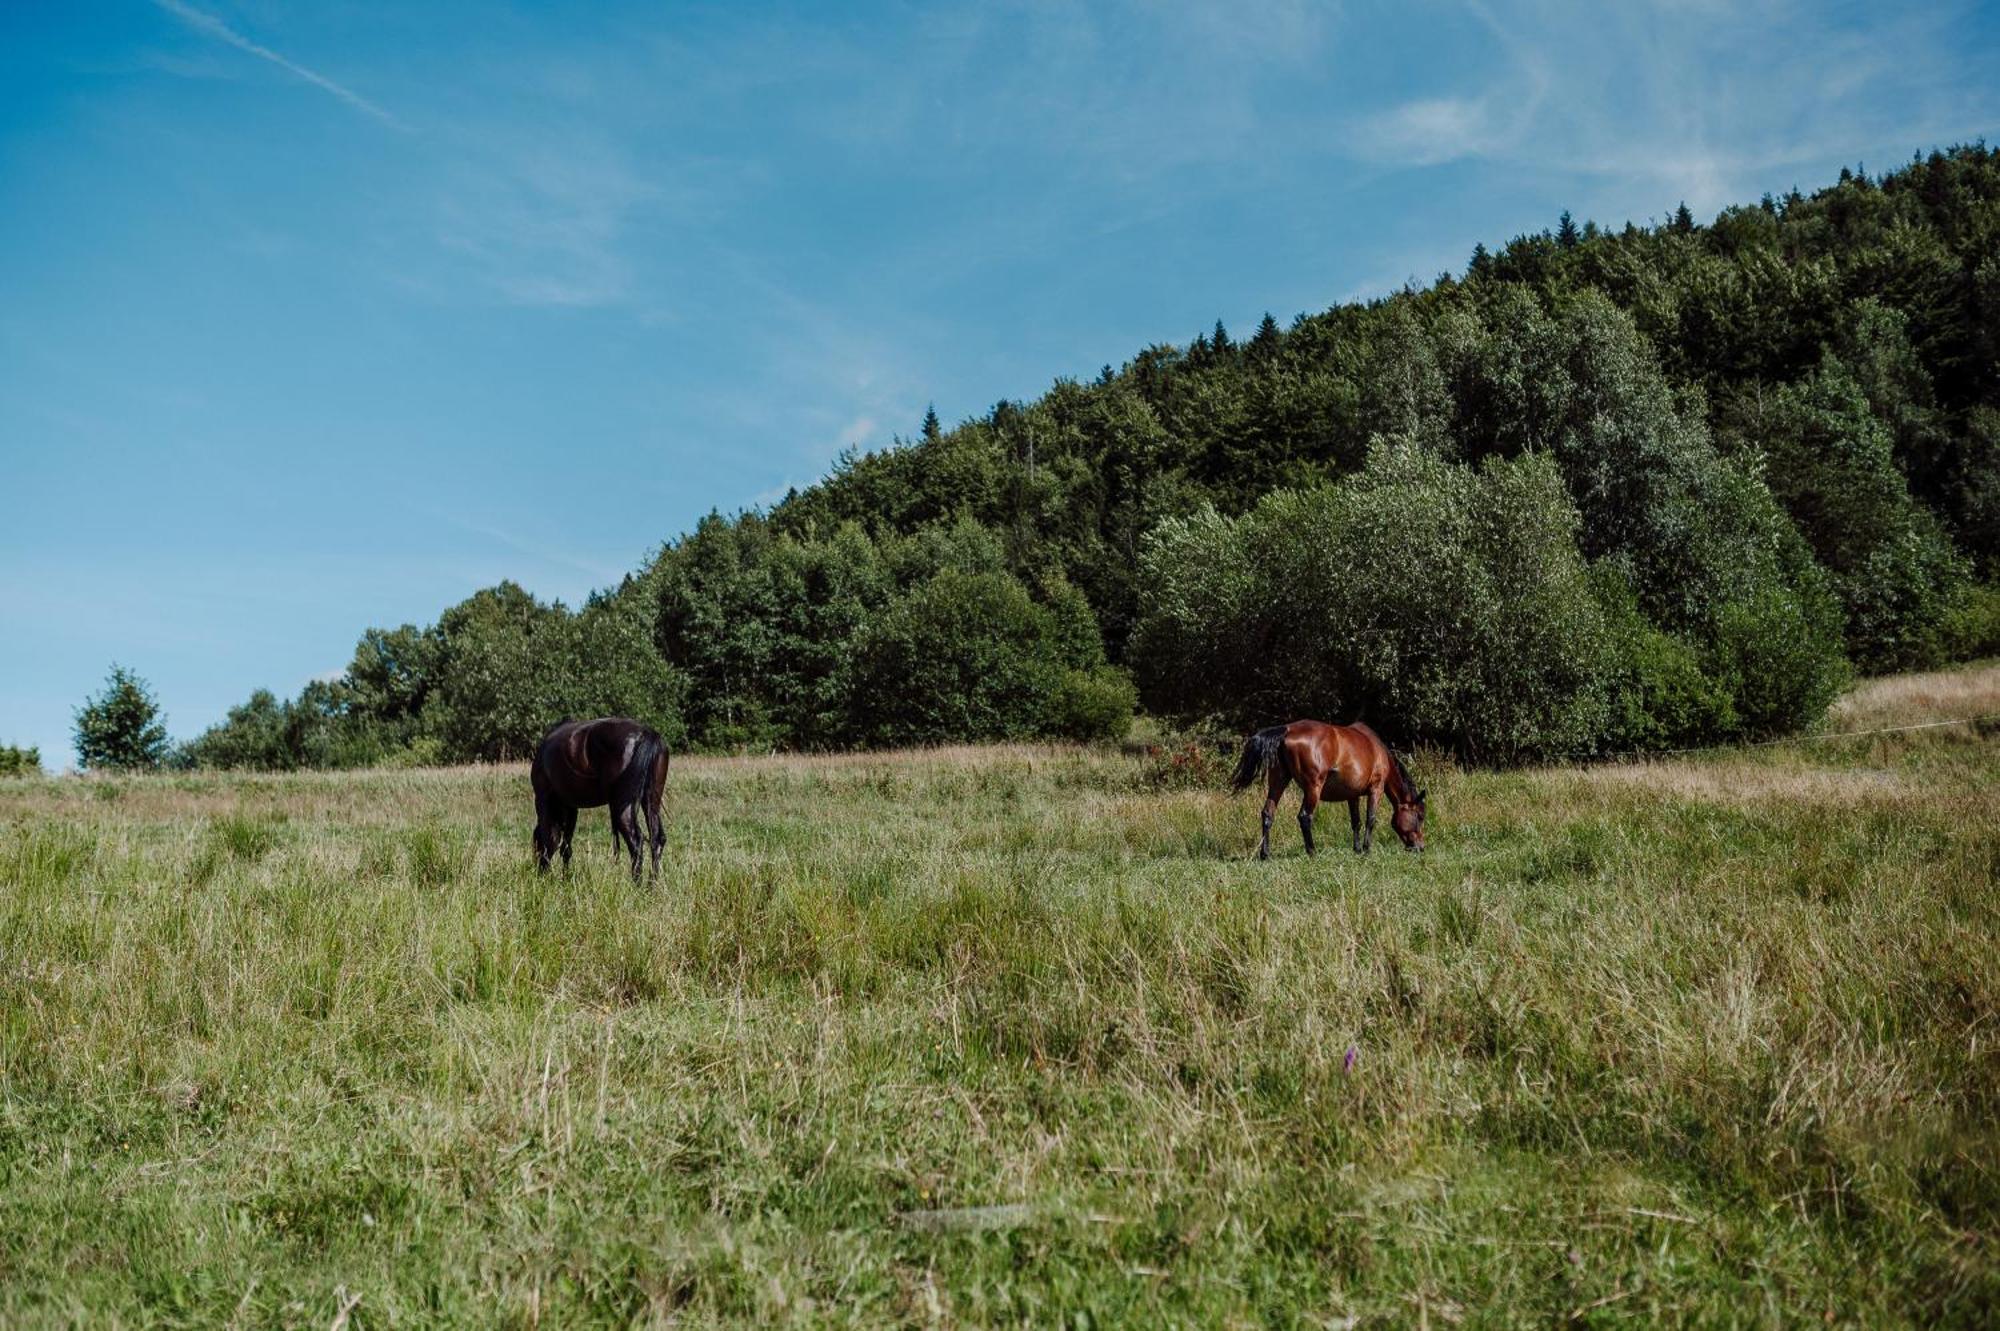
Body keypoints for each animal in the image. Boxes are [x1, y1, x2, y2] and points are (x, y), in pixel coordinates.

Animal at [532, 715, 672, 879]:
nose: (538, 873)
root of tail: (647, 733)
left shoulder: (544, 800)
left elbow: (550, 840)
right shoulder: (571, 807)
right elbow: (566, 846)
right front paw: (566, 878)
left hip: (622, 806)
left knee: (636, 842)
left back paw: (637, 882)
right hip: (650, 801)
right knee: (657, 839)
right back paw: (653, 883)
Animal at [1224, 719, 1432, 855]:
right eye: (1420, 816)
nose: (1420, 847)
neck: (1377, 750)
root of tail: (1287, 730)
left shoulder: (1353, 795)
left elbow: (1355, 821)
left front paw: (1357, 849)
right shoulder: (1376, 789)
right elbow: (1370, 819)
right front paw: (1366, 850)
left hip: (1278, 782)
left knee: (1268, 813)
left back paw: (1265, 854)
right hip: (1312, 788)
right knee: (1305, 817)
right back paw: (1312, 851)